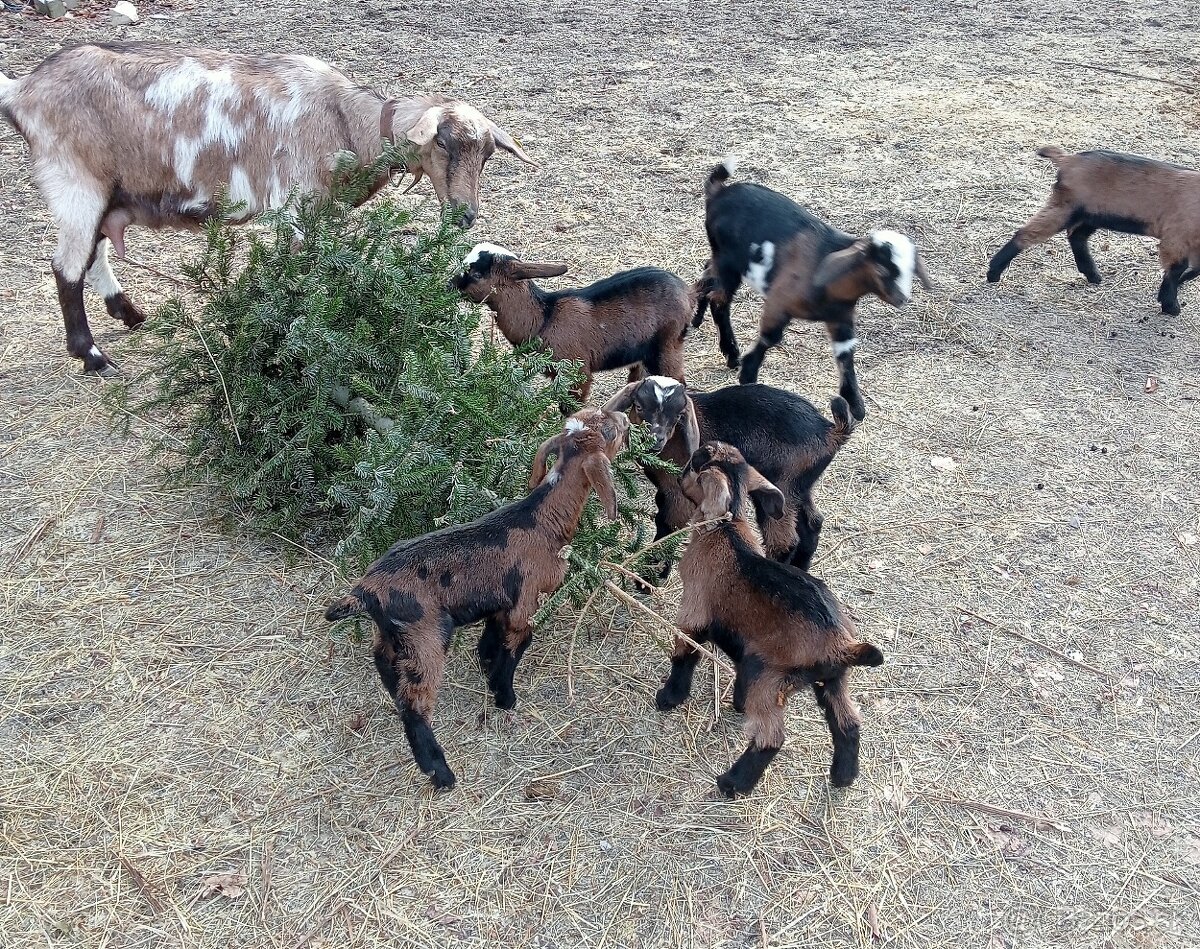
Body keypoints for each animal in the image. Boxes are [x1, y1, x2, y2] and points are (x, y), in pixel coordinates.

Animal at [0, 41, 535, 374]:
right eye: (442, 142)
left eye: (488, 153)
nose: (465, 215)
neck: (344, 121)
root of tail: (22, 90)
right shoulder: (296, 206)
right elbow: (303, 274)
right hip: (74, 183)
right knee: (67, 267)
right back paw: (92, 356)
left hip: (107, 191)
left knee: (94, 255)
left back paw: (130, 314)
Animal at [451, 243, 696, 403]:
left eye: (477, 273)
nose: (448, 285)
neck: (545, 318)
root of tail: (688, 292)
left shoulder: (577, 374)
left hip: (667, 348)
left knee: (679, 384)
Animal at [609, 376, 854, 571]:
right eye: (639, 406)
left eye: (678, 415)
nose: (654, 440)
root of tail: (831, 432)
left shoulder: (677, 491)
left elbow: (668, 523)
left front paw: (649, 577)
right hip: (800, 485)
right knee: (812, 522)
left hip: (781, 485)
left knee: (785, 540)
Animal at [691, 159, 931, 419]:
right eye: (882, 269)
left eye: (911, 269)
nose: (902, 298)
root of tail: (719, 191)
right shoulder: (779, 301)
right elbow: (770, 336)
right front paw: (748, 374)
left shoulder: (841, 318)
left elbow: (845, 354)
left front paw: (855, 405)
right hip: (729, 263)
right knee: (719, 300)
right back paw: (731, 352)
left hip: (721, 261)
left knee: (706, 275)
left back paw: (698, 321)